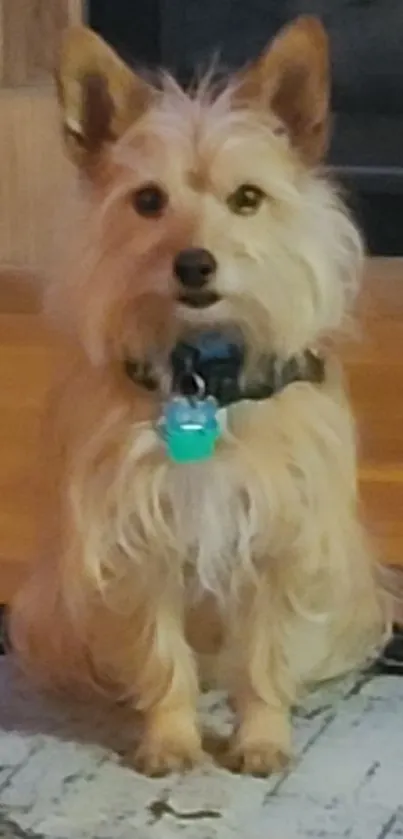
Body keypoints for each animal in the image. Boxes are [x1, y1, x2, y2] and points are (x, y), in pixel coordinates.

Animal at [11, 14, 386, 776]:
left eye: (247, 199)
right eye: (148, 201)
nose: (194, 264)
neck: (203, 375)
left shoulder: (282, 543)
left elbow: (266, 657)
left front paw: (262, 737)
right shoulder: (137, 545)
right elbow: (161, 657)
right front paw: (171, 738)